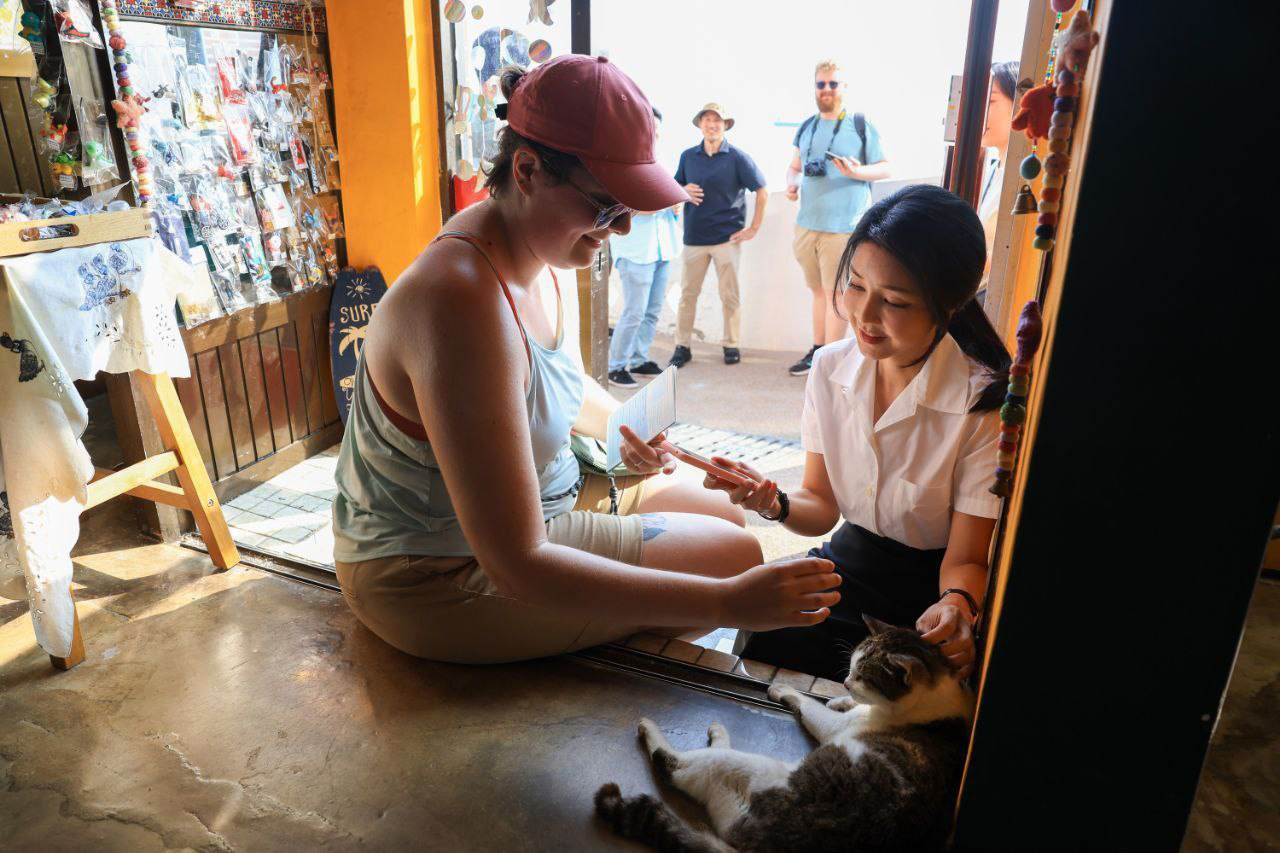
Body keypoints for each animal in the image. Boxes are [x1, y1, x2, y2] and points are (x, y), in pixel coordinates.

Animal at [593, 614, 972, 845]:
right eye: (850, 668)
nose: (846, 682)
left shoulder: (838, 728)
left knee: (675, 765)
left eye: (863, 675)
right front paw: (839, 699)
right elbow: (834, 705)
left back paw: (653, 730)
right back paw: (718, 734)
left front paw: (786, 690)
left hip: (741, 769)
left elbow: (809, 704)